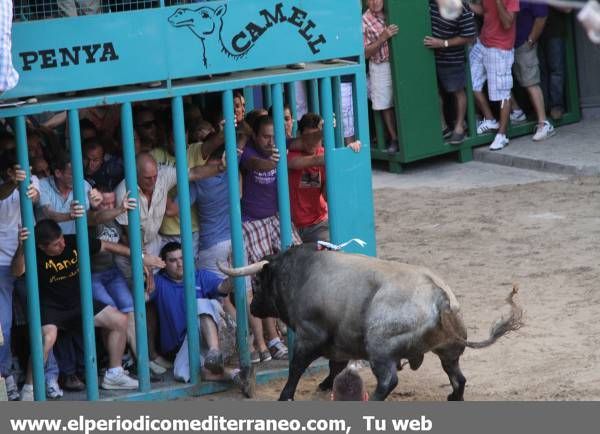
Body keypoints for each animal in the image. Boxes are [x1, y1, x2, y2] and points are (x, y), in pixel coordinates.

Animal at [218, 244, 524, 400]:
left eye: (259, 282)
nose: (253, 307)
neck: (300, 274)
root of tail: (439, 295)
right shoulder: (338, 340)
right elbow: (335, 365)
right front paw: (327, 384)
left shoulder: (309, 336)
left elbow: (297, 367)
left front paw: (286, 395)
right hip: (448, 351)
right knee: (458, 378)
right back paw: (453, 397)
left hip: (380, 349)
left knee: (388, 381)